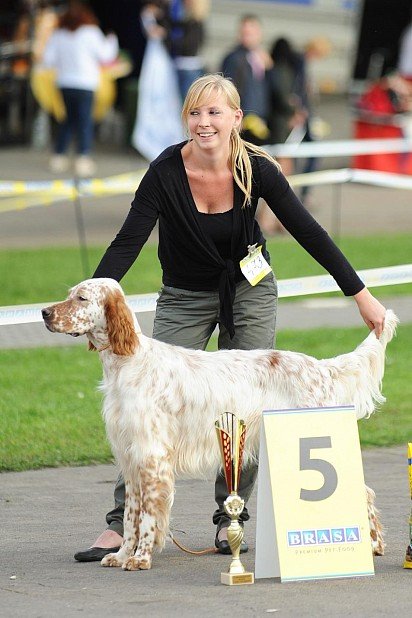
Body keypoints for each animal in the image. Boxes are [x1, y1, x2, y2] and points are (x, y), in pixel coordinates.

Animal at [41, 278, 396, 568]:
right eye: (69, 294)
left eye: (82, 298)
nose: (44, 312)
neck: (128, 361)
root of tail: (323, 368)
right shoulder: (131, 457)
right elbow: (130, 517)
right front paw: (121, 554)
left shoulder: (152, 457)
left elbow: (148, 518)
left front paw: (140, 558)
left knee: (363, 491)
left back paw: (372, 544)